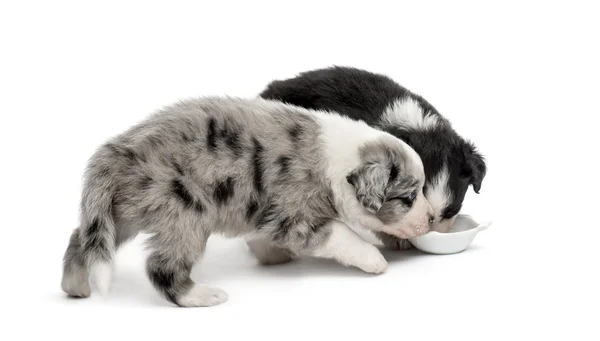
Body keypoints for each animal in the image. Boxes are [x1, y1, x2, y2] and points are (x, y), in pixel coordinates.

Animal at [61, 95, 434, 306]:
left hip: (119, 213)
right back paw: (200, 296)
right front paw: (373, 259)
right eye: (408, 197)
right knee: (160, 266)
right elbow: (341, 235)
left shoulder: (262, 210)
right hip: (184, 214)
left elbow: (260, 234)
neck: (338, 162)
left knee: (82, 239)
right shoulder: (295, 216)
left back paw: (75, 287)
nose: (431, 219)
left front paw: (272, 256)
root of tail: (114, 153)